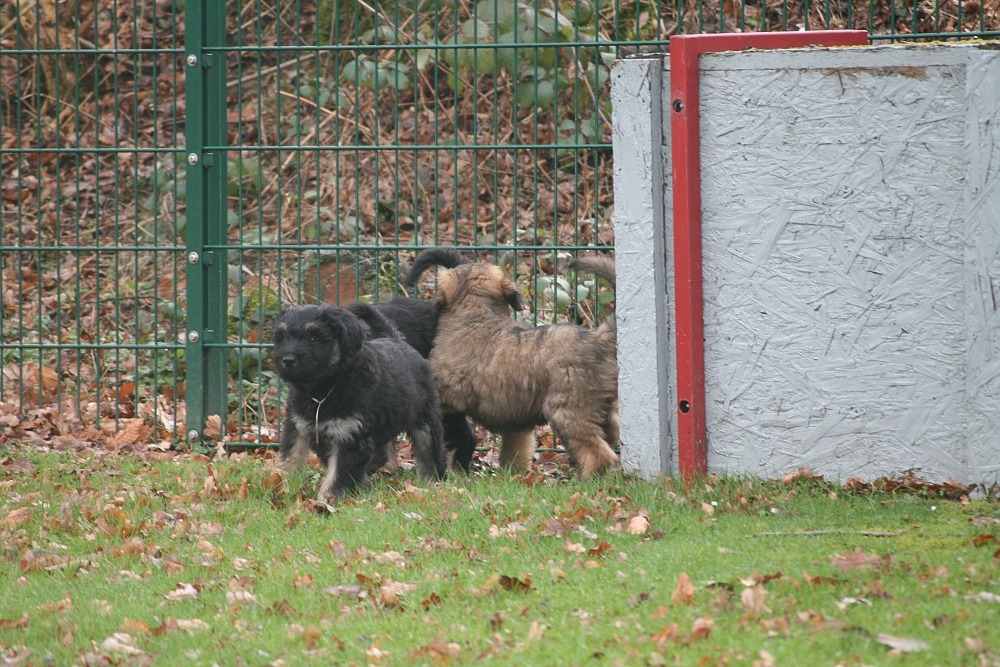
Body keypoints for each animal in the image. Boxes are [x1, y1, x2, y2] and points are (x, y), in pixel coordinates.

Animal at [274, 302, 446, 500]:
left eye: (313, 337)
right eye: (282, 337)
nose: (287, 360)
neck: (323, 390)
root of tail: (398, 340)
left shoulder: (349, 434)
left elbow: (339, 473)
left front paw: (327, 499)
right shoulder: (297, 424)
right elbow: (291, 456)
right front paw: (282, 483)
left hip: (424, 419)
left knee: (429, 448)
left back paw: (432, 480)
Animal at [404, 252, 616, 480]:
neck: (476, 316)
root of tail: (597, 338)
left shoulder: (447, 403)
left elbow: (452, 440)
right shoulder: (516, 420)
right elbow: (515, 450)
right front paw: (513, 475)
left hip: (567, 409)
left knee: (596, 452)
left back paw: (586, 479)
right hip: (606, 409)